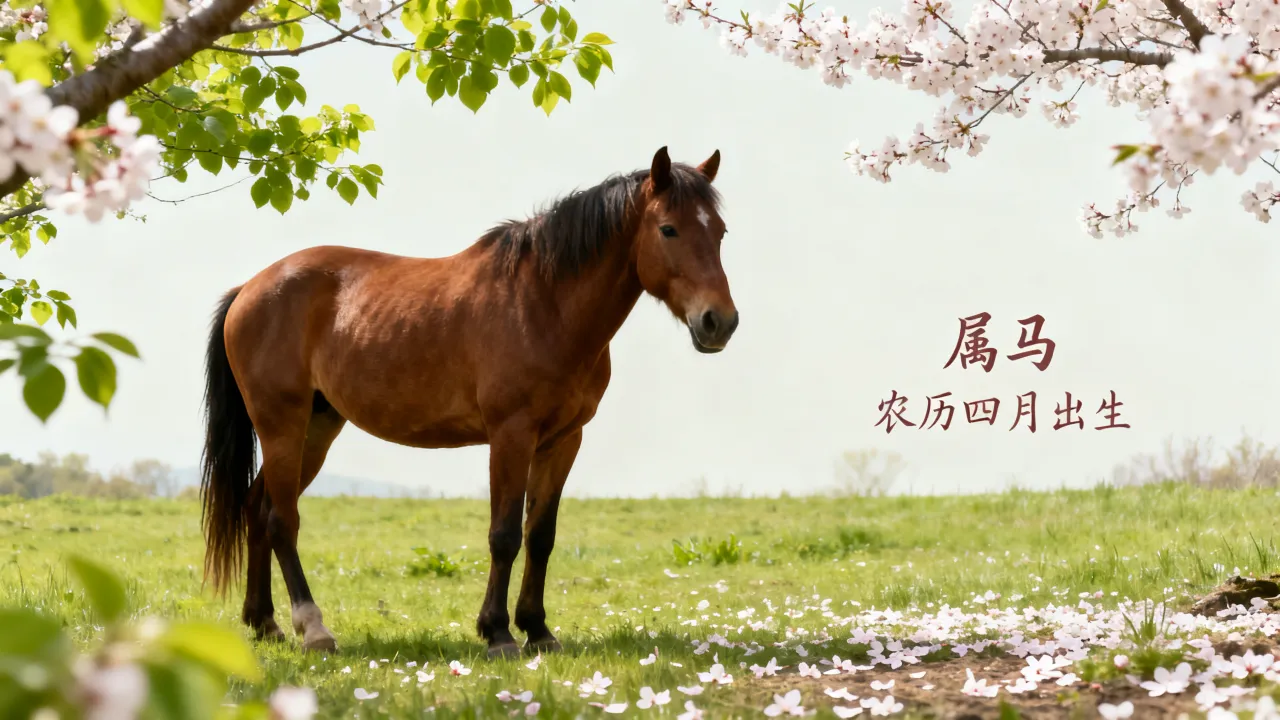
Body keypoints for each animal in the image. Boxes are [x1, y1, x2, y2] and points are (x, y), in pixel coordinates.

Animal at [198, 147, 740, 657]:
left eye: (720, 232)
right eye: (668, 229)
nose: (720, 322)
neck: (543, 303)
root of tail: (249, 289)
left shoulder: (563, 440)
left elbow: (540, 535)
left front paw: (538, 630)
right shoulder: (511, 435)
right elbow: (504, 535)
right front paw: (498, 633)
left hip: (317, 427)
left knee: (256, 509)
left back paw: (264, 623)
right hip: (282, 426)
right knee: (280, 520)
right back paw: (313, 629)